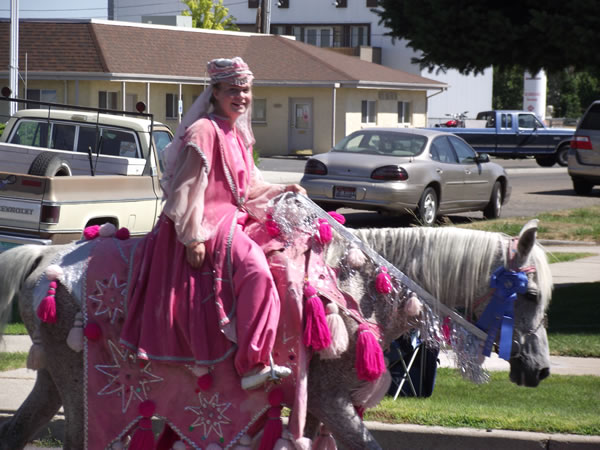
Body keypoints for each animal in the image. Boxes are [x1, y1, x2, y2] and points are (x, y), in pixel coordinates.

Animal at [0, 221, 552, 450]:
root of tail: (44, 258)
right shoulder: (332, 401)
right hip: (82, 386)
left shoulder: (323, 409)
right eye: (528, 295)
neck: (359, 291)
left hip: (54, 378)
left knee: (19, 430)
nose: (541, 369)